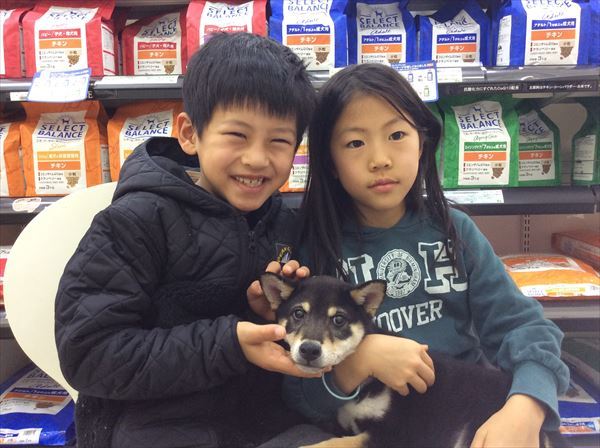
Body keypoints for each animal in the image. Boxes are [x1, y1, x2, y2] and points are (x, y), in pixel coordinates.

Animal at [260, 273, 570, 448]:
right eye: (298, 314)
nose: (309, 350)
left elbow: (330, 446)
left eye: (339, 320)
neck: (364, 384)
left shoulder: (393, 435)